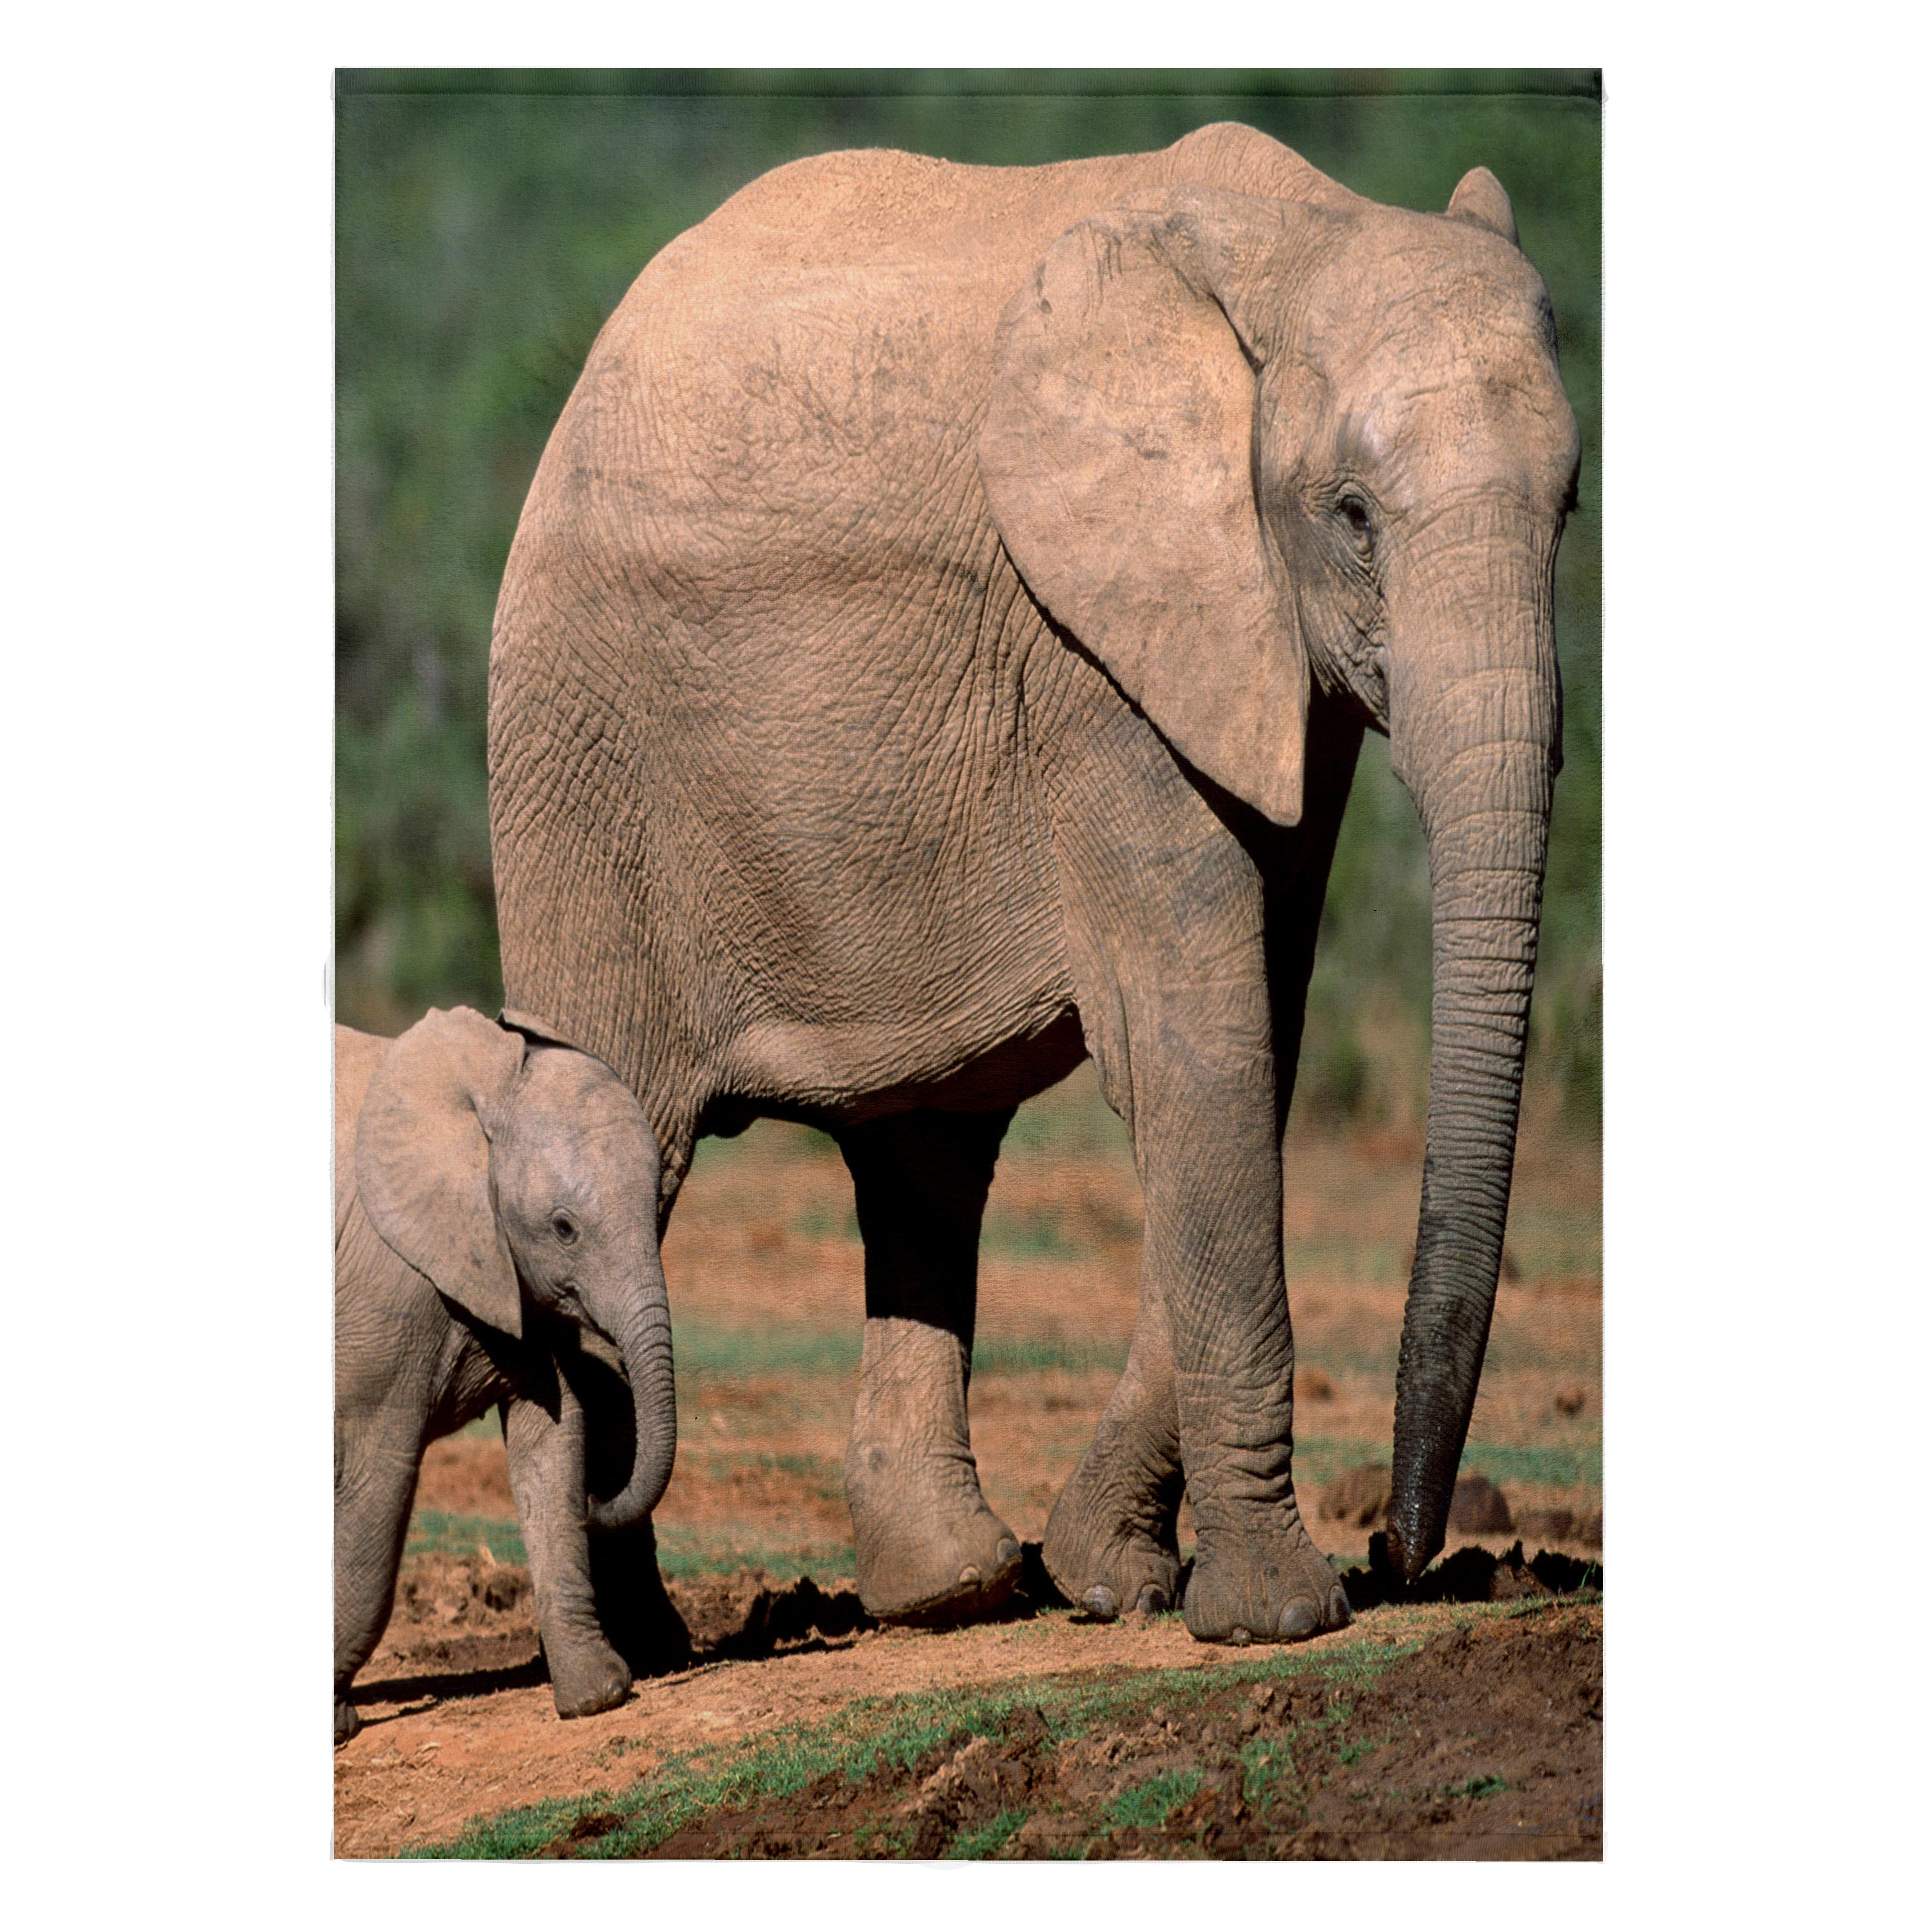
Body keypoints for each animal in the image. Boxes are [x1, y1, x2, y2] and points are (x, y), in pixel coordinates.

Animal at [334, 1006, 684, 1745]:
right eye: (564, 1228)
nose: (600, 1500)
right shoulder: (388, 1286)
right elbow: (381, 1480)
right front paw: (336, 1724)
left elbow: (553, 1435)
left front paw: (598, 1697)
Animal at [485, 123, 1581, 1645]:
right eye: (1354, 518)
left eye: (1574, 504)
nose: (1412, 1552)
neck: (1296, 234)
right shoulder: (1094, 656)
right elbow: (1199, 1044)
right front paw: (1275, 1619)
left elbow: (1253, 1036)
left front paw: (1110, 1579)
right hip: (581, 754)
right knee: (623, 1142)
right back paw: (644, 1651)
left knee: (927, 1155)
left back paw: (950, 1587)